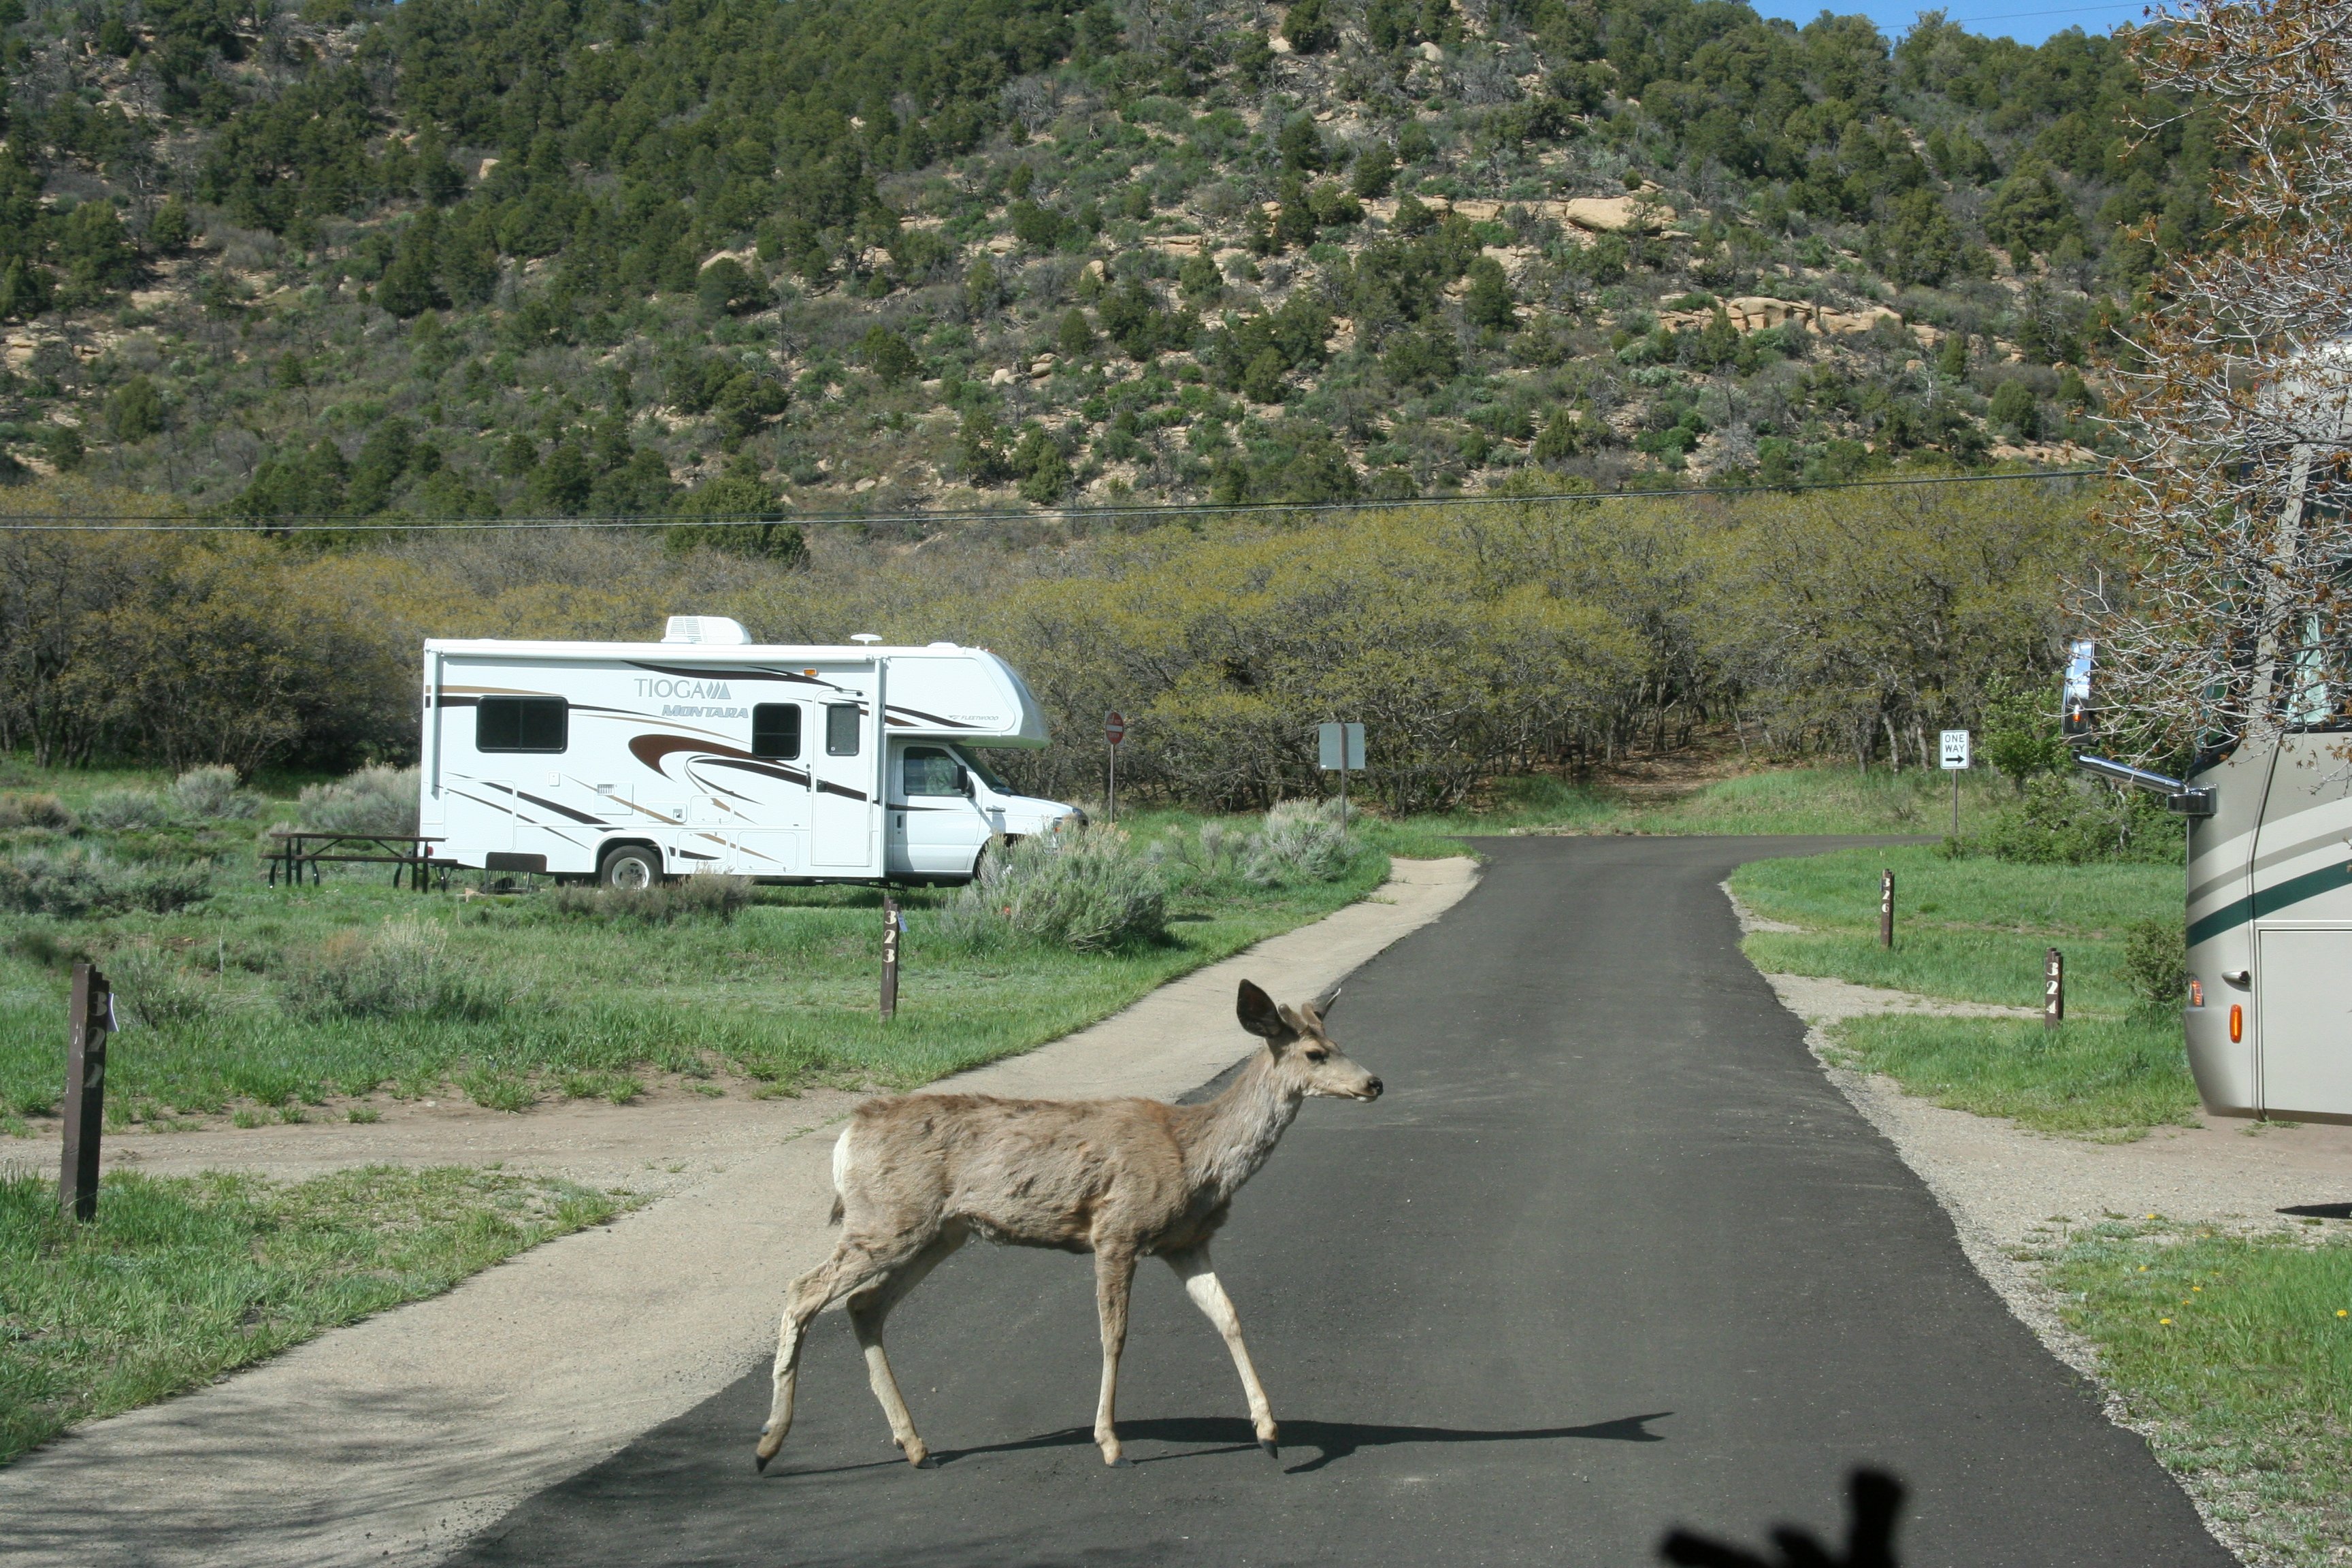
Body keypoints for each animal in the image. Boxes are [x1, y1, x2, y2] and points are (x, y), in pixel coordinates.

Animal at [748, 973, 1373, 1476]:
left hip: (938, 1232)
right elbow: (1114, 1335)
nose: (1374, 1083)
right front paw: (1110, 1443)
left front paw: (1269, 1433)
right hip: (886, 1219)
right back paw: (768, 1445)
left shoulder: (1187, 1243)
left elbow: (1229, 1318)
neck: (1195, 1156)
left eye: (1337, 1044)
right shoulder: (1116, 1230)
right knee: (803, 1291)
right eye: (1315, 1053)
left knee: (864, 1306)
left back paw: (916, 1446)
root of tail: (849, 1134)